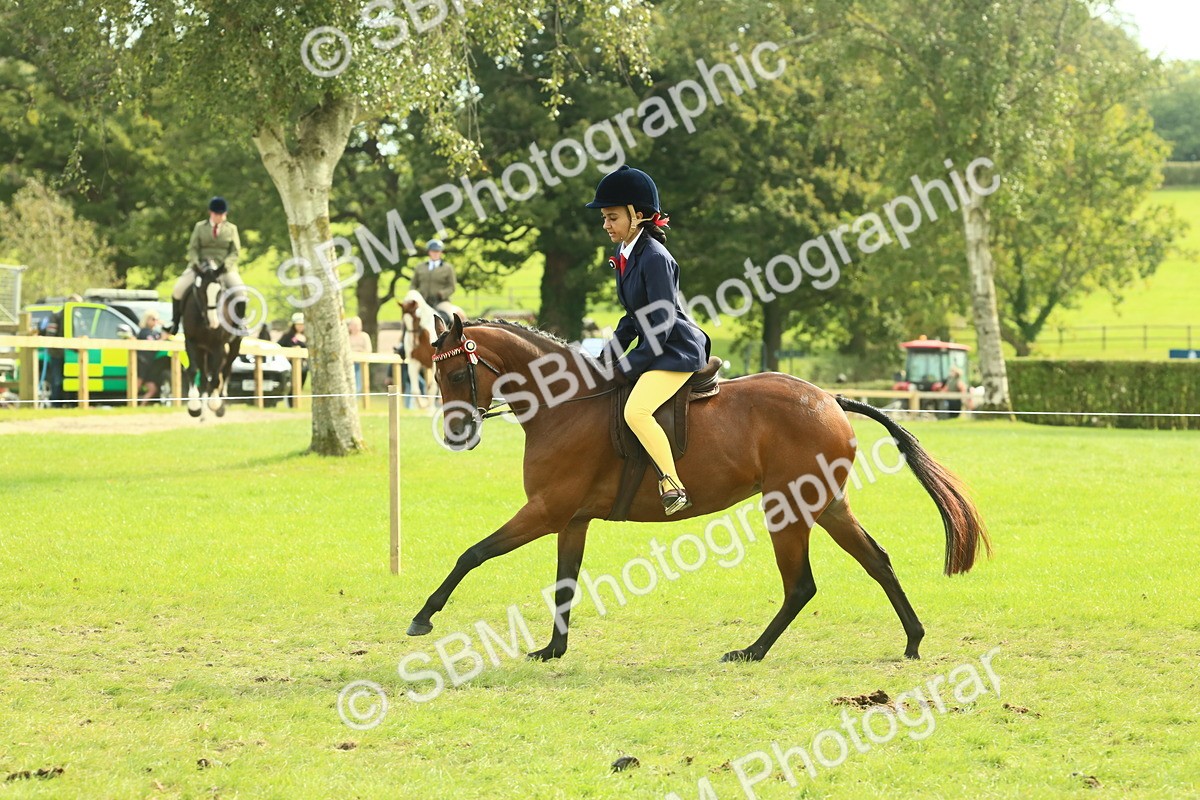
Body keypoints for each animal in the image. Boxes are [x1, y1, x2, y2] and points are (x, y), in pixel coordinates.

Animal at [180, 258, 243, 418]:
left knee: (225, 370)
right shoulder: (191, 342)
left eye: (220, 291)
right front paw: (194, 407)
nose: (214, 323)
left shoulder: (218, 346)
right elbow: (193, 370)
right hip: (203, 350)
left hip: (234, 346)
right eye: (202, 291)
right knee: (204, 375)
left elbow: (215, 376)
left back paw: (221, 405)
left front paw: (215, 403)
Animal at [407, 317, 990, 663]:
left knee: (801, 585)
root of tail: (829, 399)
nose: (456, 435)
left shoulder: (546, 510)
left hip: (788, 508)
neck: (565, 404)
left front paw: (423, 616)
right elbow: (565, 582)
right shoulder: (571, 519)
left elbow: (472, 554)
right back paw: (912, 639)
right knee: (877, 561)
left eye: (456, 374)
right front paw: (553, 649)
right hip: (826, 505)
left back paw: (752, 651)